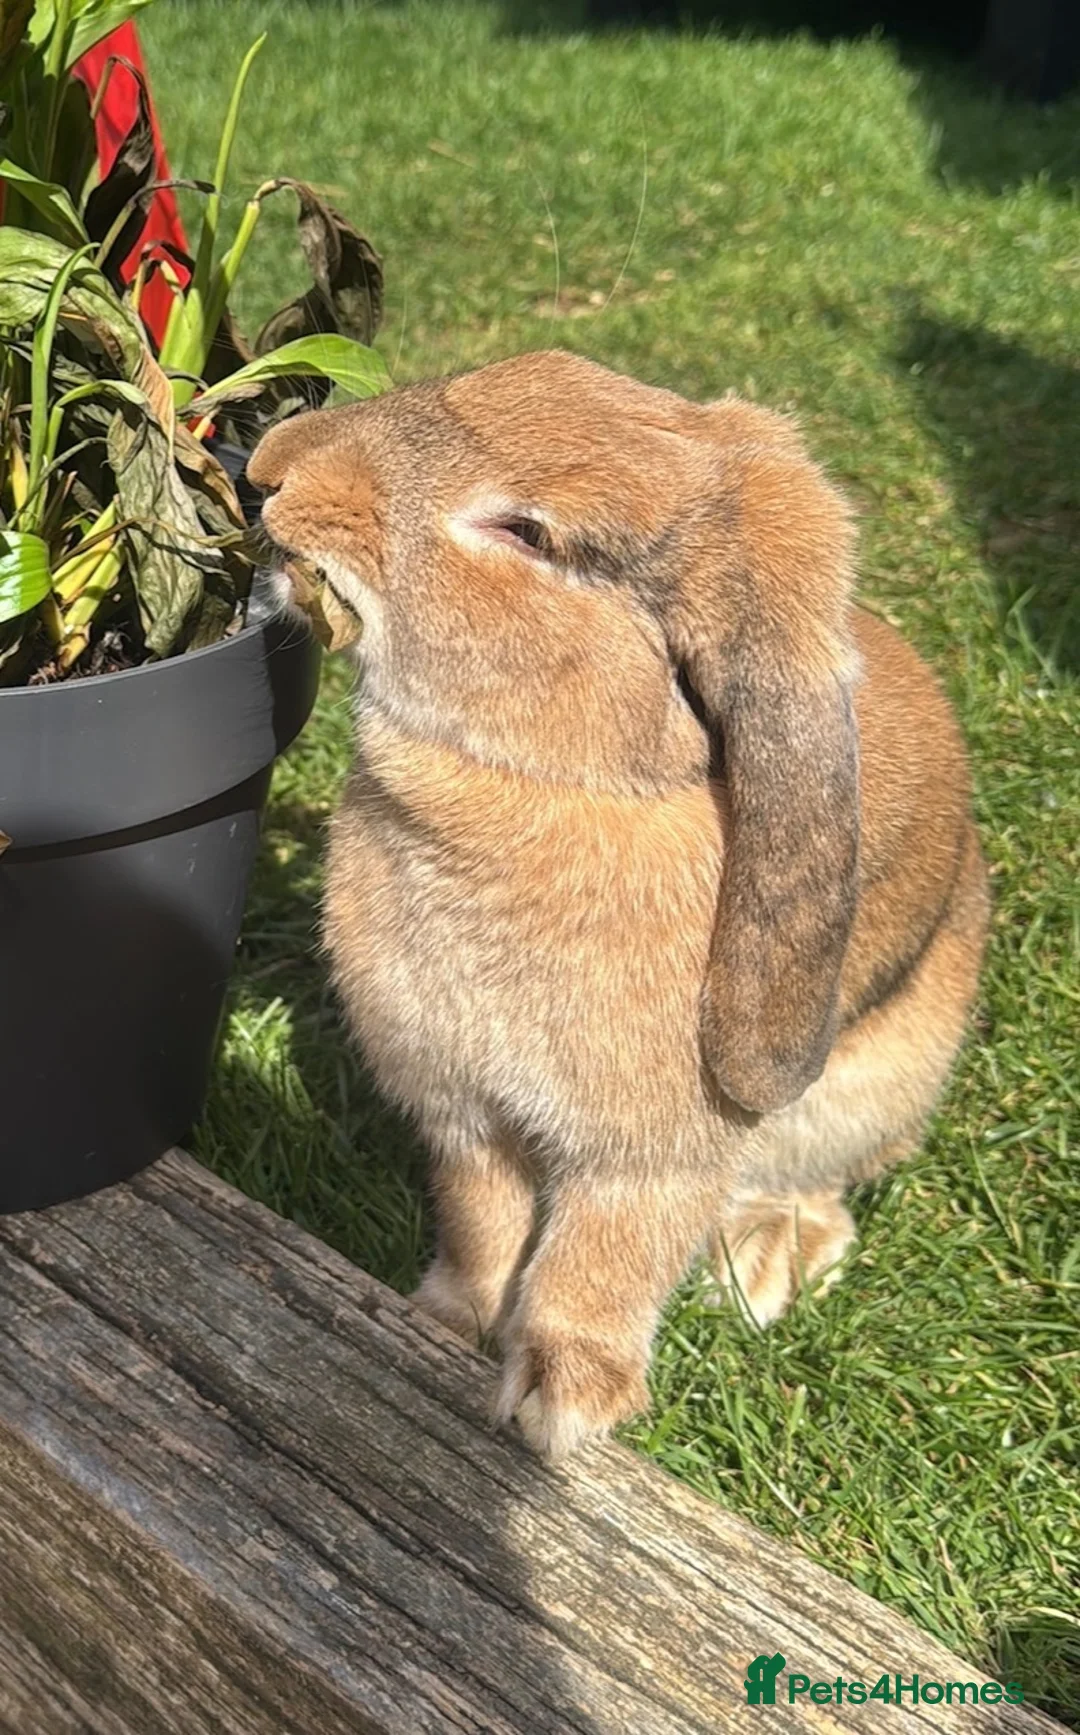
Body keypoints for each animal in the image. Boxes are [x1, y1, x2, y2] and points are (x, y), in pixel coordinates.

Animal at [248, 350, 990, 1461]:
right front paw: (447, 1322)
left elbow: (600, 1264)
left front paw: (560, 1406)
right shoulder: (464, 1113)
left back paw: (762, 1263)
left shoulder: (648, 1158)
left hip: (870, 1084)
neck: (550, 785)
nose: (270, 467)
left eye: (528, 533)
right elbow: (482, 1223)